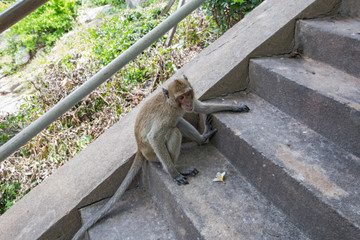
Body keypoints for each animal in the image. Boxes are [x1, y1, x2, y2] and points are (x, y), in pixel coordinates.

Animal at [71, 75, 249, 240]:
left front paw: (235, 106)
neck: (172, 104)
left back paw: (202, 139)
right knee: (173, 131)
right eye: (181, 97)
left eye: (188, 93)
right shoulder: (168, 114)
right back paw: (178, 167)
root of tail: (139, 147)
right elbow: (155, 136)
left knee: (178, 122)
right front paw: (174, 174)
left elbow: (200, 106)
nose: (187, 102)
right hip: (151, 152)